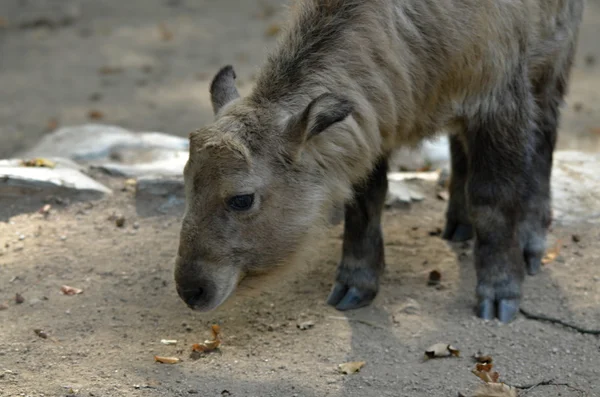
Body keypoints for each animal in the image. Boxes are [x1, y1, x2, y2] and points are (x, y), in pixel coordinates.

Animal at [176, 0, 584, 322]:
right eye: (187, 184)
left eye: (242, 199)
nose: (191, 290)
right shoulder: (376, 125)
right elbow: (364, 203)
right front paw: (356, 284)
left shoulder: (501, 101)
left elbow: (493, 200)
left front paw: (500, 292)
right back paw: (458, 223)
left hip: (552, 66)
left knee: (543, 143)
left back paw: (530, 240)